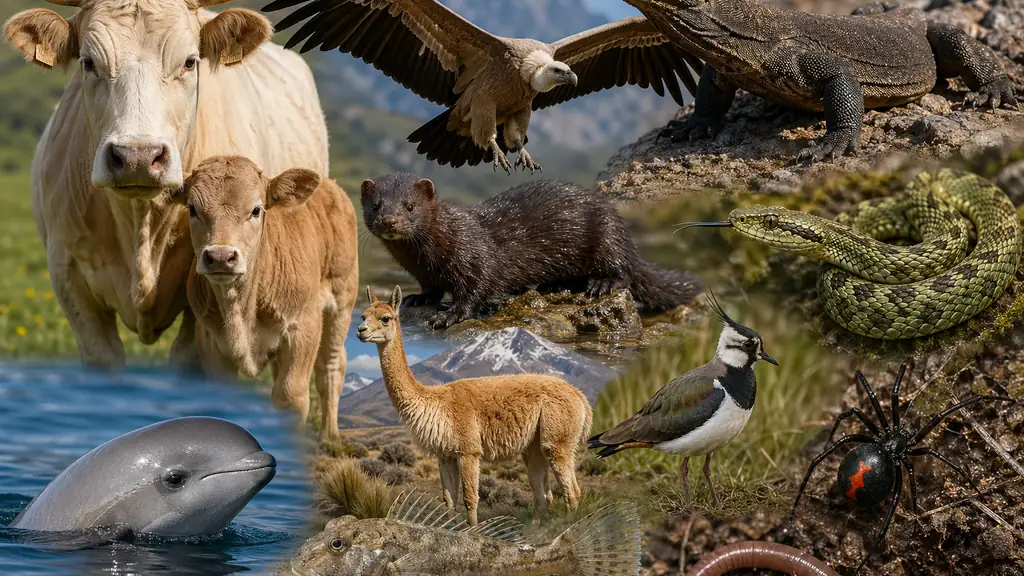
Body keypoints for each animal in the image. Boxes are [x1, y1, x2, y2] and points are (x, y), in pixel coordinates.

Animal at [173, 155, 358, 441]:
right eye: (192, 209)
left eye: (256, 210)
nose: (221, 256)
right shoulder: (209, 336)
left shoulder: (303, 327)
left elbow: (291, 398)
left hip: (342, 301)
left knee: (331, 367)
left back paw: (329, 437)